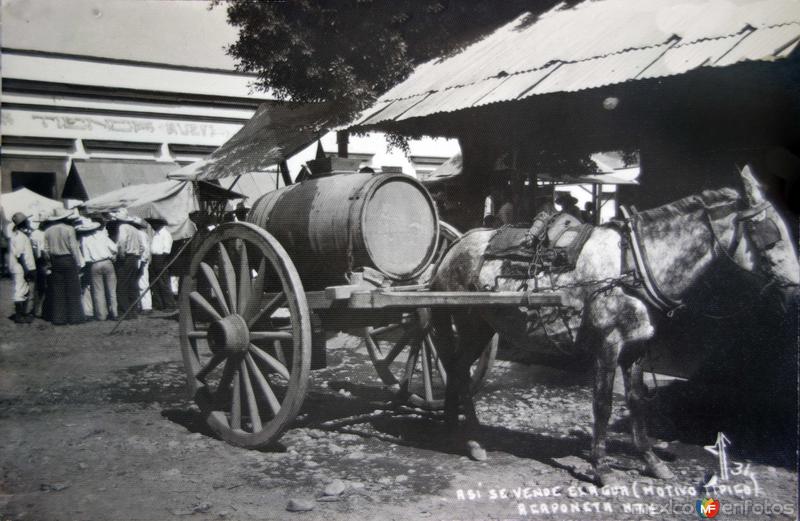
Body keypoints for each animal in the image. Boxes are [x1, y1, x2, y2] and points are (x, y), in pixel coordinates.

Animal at [432, 166, 800, 484]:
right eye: (770, 231)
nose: (795, 288)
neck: (634, 265)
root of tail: (455, 246)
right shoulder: (608, 344)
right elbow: (603, 404)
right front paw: (601, 467)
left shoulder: (636, 346)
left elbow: (636, 403)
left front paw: (652, 462)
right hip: (469, 321)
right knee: (460, 368)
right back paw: (472, 439)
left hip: (484, 326)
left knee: (457, 366)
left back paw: (454, 429)